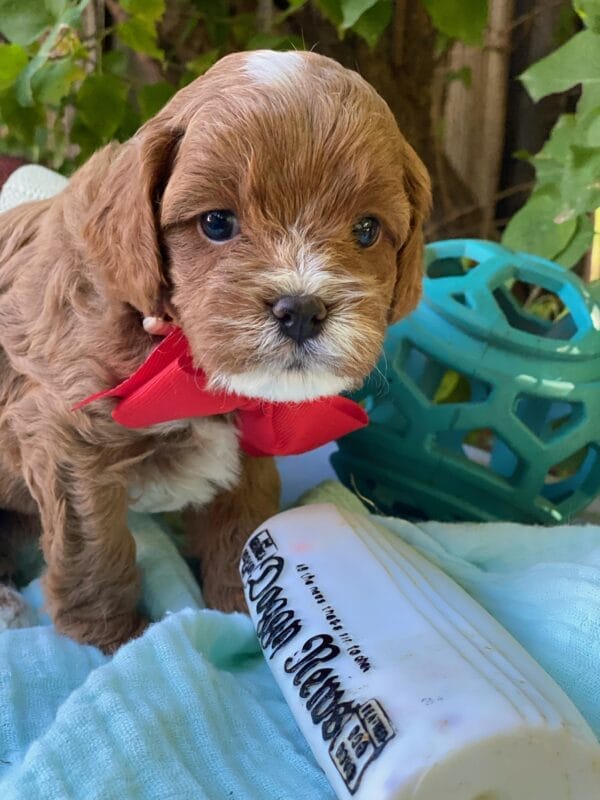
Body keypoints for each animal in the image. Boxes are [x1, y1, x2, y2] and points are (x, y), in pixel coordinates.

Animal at [0, 48, 432, 648]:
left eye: (367, 230)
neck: (179, 356)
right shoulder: (66, 437)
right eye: (217, 222)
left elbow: (241, 521)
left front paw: (240, 606)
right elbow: (95, 547)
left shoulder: (251, 441)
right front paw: (110, 636)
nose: (302, 310)